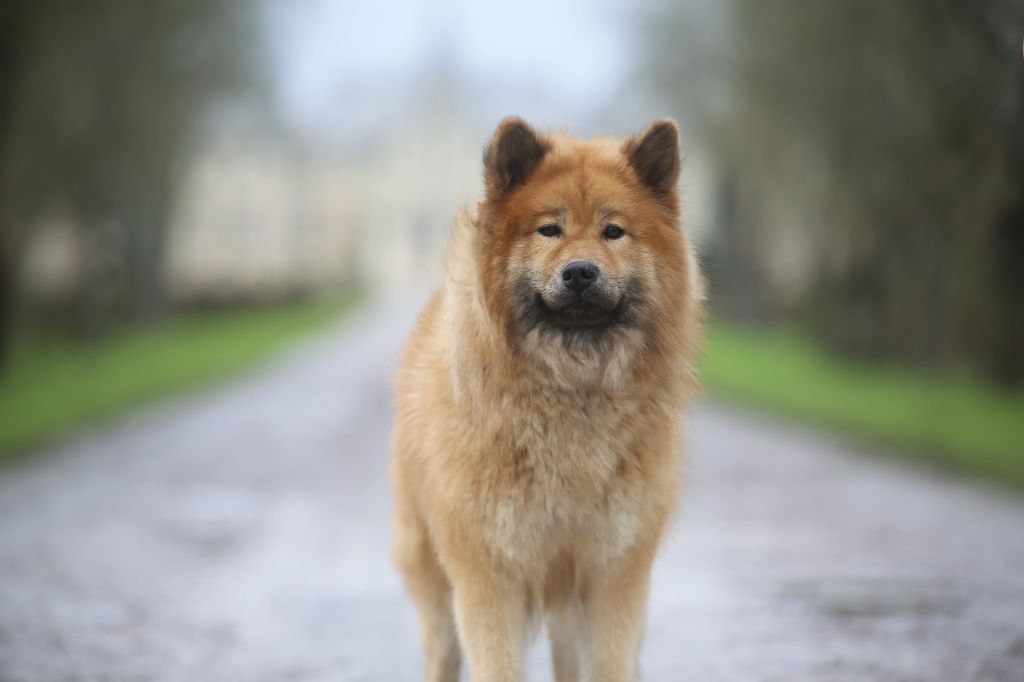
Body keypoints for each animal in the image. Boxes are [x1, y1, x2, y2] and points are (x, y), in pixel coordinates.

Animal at [391, 118, 704, 679]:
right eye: (549, 230)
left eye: (612, 231)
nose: (580, 272)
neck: (570, 397)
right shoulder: (488, 575)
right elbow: (496, 665)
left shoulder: (615, 572)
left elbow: (611, 665)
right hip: (434, 578)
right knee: (442, 652)